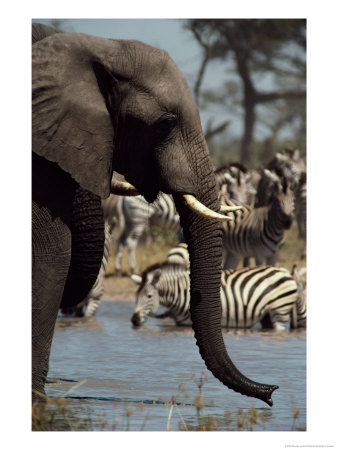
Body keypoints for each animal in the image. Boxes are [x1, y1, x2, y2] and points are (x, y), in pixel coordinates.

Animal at [130, 260, 306, 330]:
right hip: (267, 315)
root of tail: (284, 271)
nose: (134, 320)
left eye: (149, 296)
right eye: (135, 296)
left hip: (280, 310)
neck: (180, 292)